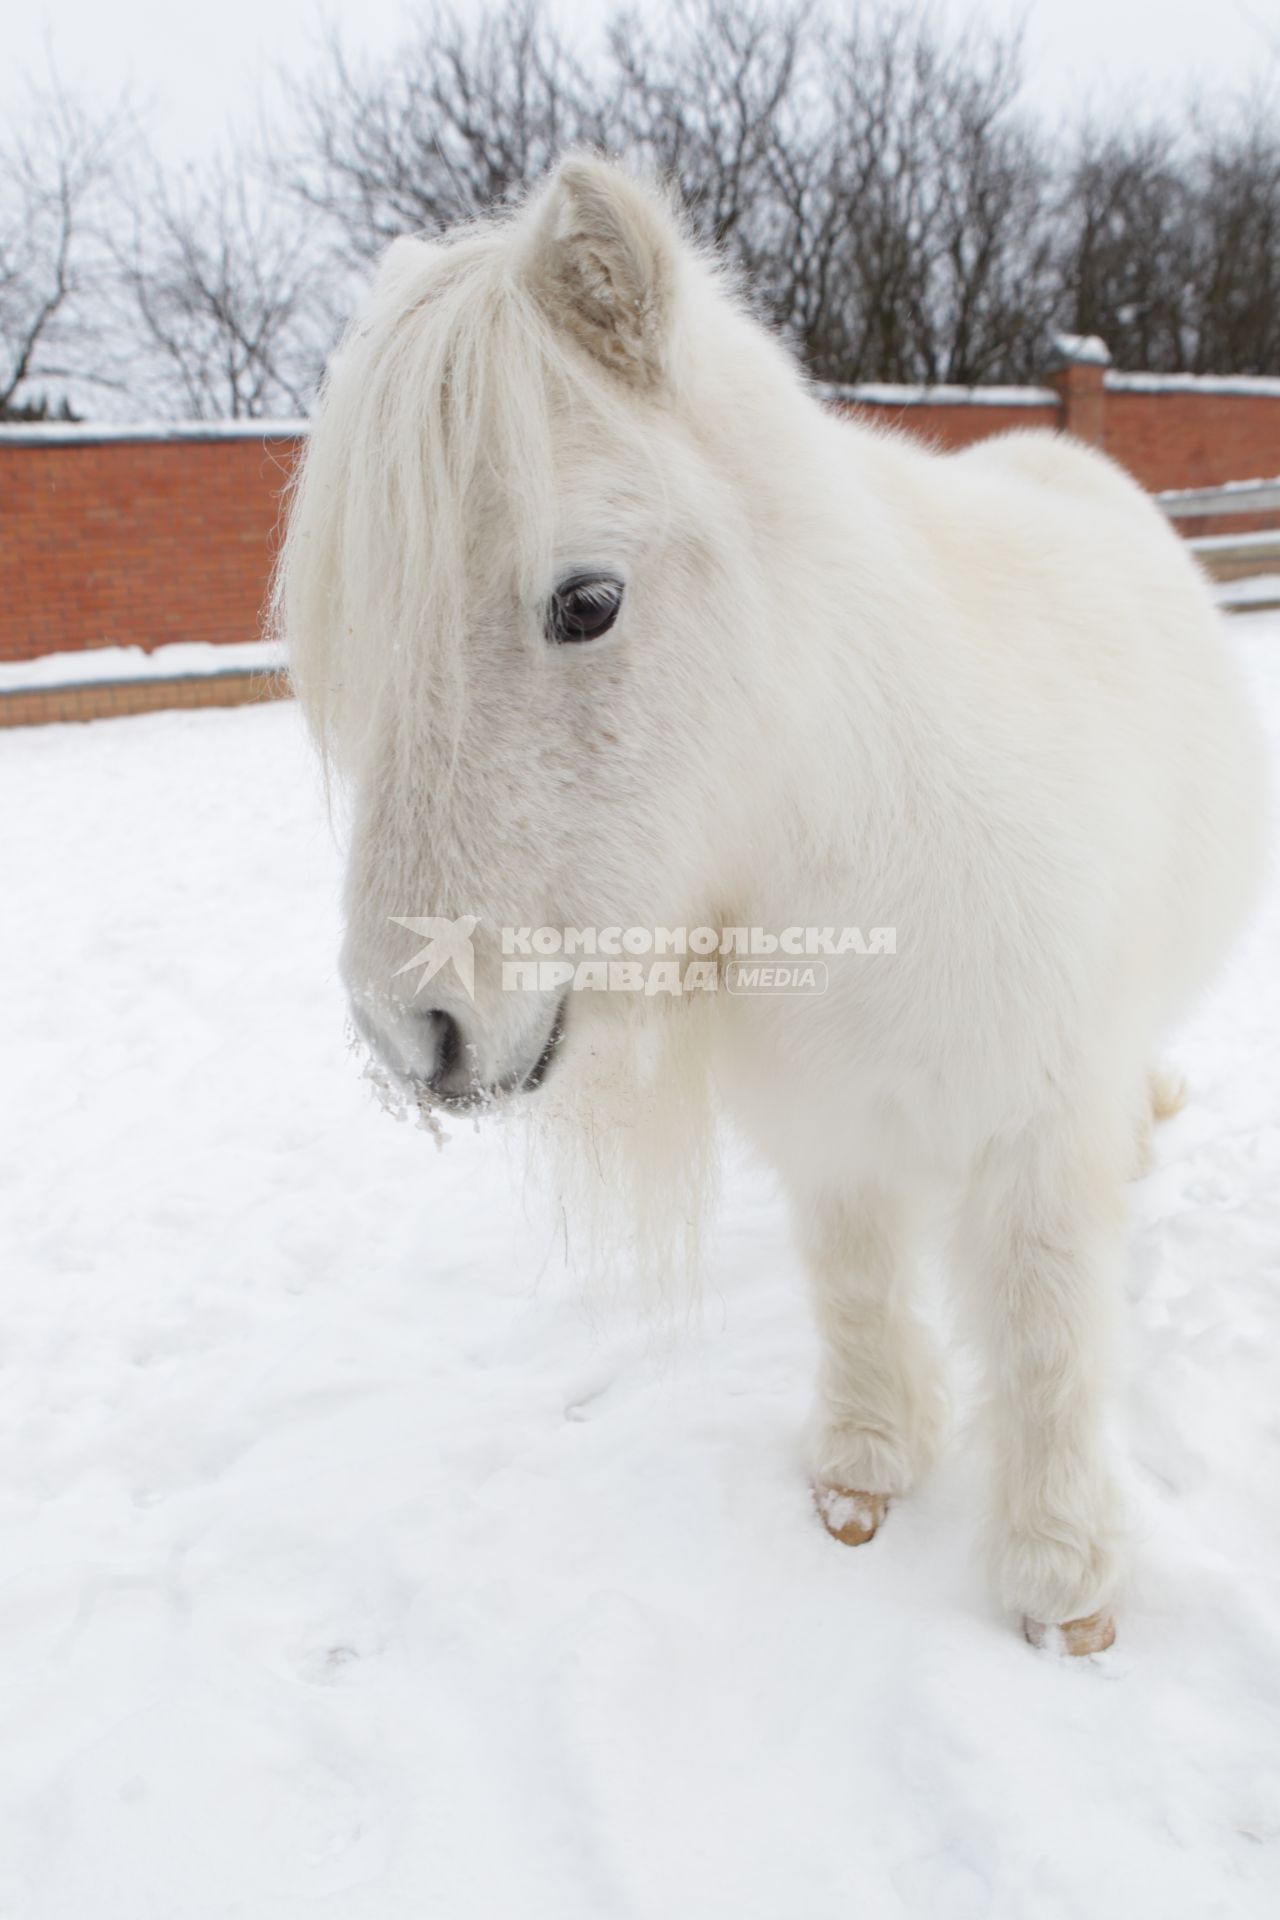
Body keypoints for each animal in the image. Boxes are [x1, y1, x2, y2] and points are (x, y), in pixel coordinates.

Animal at [276, 153, 1266, 1651]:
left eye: (587, 600)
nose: (414, 1034)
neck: (872, 831)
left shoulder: (1032, 1136)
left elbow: (1045, 1337)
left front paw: (1062, 1583)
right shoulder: (830, 1127)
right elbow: (855, 1285)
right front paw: (863, 1472)